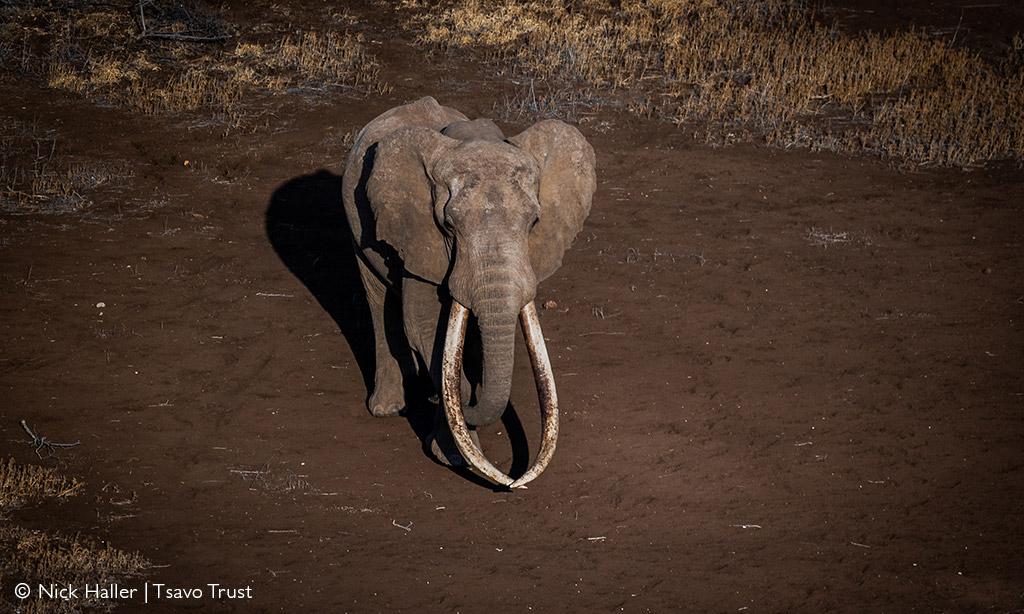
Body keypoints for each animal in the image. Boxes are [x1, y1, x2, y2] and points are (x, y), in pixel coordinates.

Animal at [339, 97, 598, 489]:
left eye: (535, 222)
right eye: (448, 225)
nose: (512, 484)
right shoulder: (418, 236)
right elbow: (425, 323)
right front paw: (455, 456)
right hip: (356, 220)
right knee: (377, 297)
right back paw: (389, 408)